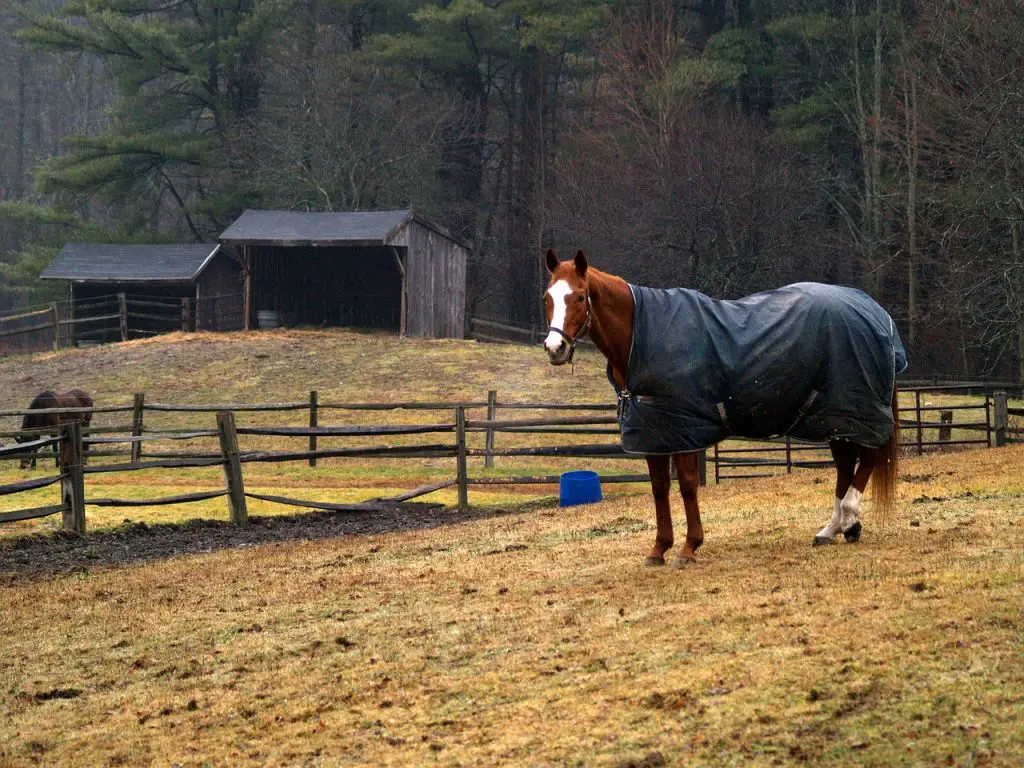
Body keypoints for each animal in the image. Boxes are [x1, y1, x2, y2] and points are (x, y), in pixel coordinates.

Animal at [540, 249, 901, 569]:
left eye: (580, 297)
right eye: (548, 297)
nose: (555, 348)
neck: (640, 339)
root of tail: (874, 312)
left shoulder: (684, 429)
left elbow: (687, 486)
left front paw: (689, 547)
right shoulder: (654, 431)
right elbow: (659, 488)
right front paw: (659, 549)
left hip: (853, 411)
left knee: (868, 456)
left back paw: (850, 518)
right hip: (835, 417)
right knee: (846, 465)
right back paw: (832, 529)